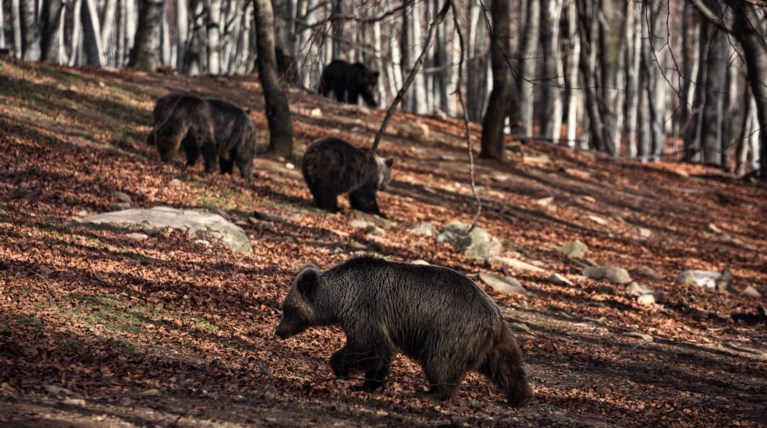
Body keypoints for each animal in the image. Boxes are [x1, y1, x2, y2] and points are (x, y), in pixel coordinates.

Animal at [276, 256, 536, 406]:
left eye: (287, 308)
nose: (279, 331)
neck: (340, 298)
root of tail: (493, 315)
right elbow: (379, 354)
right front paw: (368, 383)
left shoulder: (365, 309)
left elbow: (370, 346)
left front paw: (342, 369)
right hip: (498, 340)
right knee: (508, 366)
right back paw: (520, 397)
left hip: (450, 331)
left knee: (440, 363)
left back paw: (431, 393)